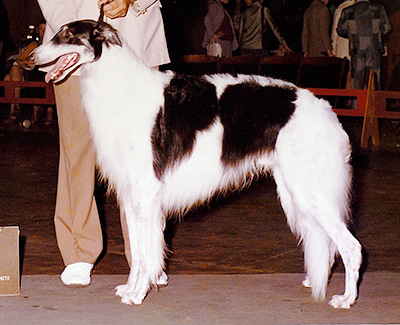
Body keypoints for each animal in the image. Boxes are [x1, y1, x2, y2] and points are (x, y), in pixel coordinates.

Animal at [32, 20, 362, 308]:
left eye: (66, 35)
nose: (31, 58)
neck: (118, 85)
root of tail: (326, 110)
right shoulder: (131, 195)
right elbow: (138, 253)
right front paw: (130, 288)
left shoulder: (146, 193)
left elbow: (147, 254)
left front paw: (138, 294)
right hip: (295, 190)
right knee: (329, 245)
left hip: (308, 191)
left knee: (351, 246)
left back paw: (346, 299)